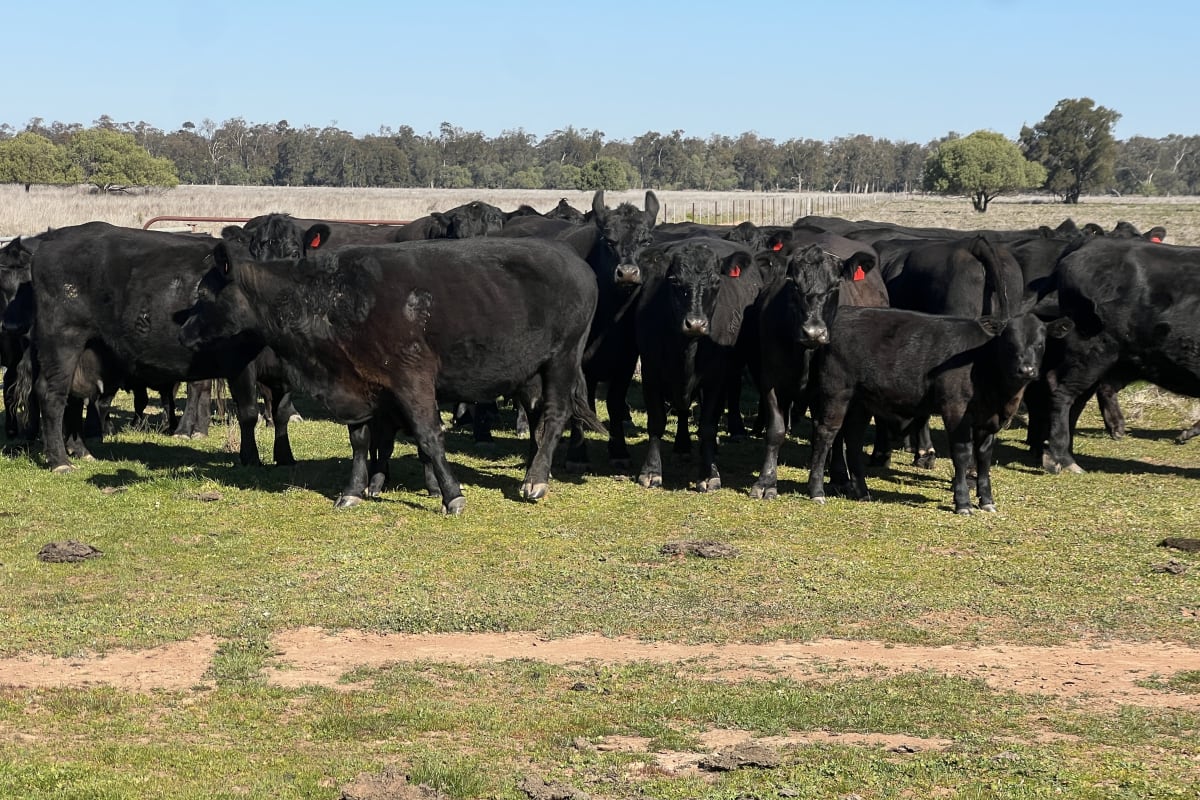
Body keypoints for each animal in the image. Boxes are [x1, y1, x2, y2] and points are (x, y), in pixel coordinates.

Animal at [18, 222, 295, 472]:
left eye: (293, 253)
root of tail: (51, 239)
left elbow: (282, 412)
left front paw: (285, 457)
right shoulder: (240, 364)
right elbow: (248, 413)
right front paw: (250, 458)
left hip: (88, 351)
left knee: (75, 397)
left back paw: (80, 450)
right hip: (62, 342)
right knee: (52, 394)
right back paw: (59, 461)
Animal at [178, 236, 604, 513]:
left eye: (203, 296)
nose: (182, 333)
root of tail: (573, 259)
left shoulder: (412, 376)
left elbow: (429, 436)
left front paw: (452, 494)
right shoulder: (357, 384)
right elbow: (360, 440)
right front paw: (353, 490)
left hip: (563, 358)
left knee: (555, 414)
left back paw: (536, 480)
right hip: (529, 371)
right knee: (535, 415)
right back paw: (532, 469)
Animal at [633, 238, 762, 491]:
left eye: (716, 281)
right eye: (674, 280)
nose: (695, 324)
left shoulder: (715, 377)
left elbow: (708, 426)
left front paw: (709, 474)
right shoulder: (651, 370)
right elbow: (657, 421)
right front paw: (651, 471)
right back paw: (682, 446)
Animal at [808, 307, 1073, 513]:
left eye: (1040, 344)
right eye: (1009, 343)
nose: (1026, 370)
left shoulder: (989, 420)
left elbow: (984, 456)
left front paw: (987, 501)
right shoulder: (955, 409)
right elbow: (963, 454)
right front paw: (963, 502)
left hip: (862, 401)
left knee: (852, 439)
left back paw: (862, 491)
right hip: (837, 391)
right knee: (826, 433)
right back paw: (816, 491)